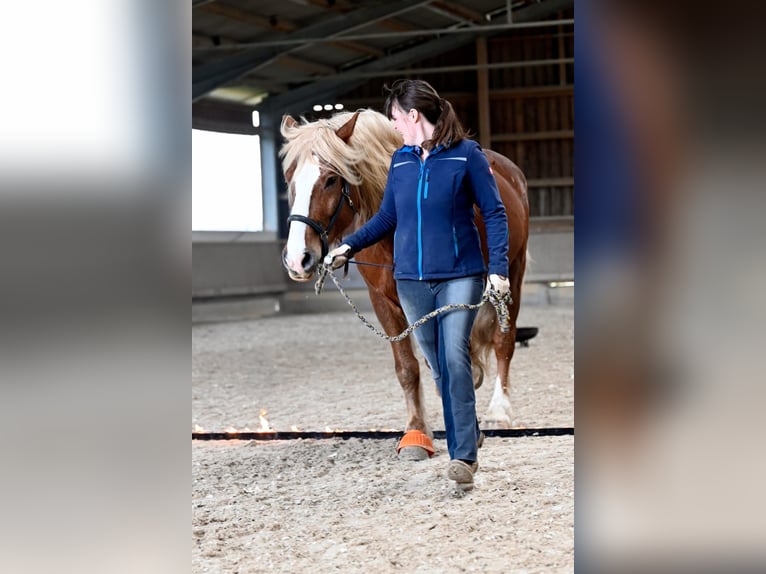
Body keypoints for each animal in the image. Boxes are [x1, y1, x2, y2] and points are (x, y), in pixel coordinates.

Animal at [284, 108, 536, 460]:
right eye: (289, 178)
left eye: (331, 179)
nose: (298, 259)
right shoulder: (384, 301)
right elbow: (409, 367)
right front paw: (417, 432)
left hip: (513, 271)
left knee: (503, 341)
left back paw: (499, 411)